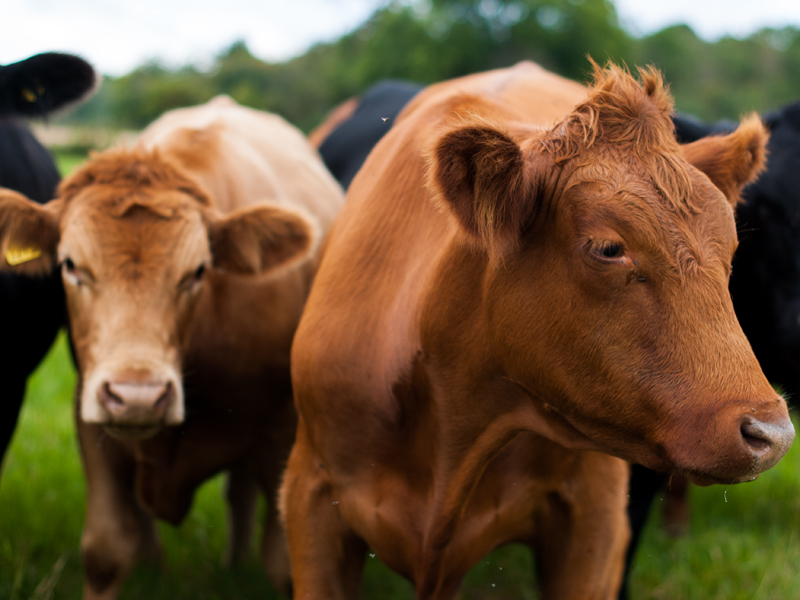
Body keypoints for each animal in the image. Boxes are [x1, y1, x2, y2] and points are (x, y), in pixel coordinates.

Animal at [0, 96, 340, 596]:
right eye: (71, 266)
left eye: (197, 272)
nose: (137, 396)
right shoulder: (93, 424)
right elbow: (106, 550)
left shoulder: (286, 436)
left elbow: (287, 566)